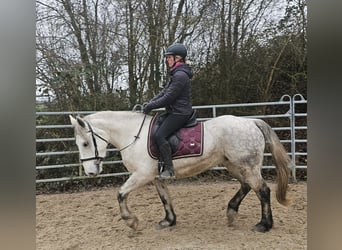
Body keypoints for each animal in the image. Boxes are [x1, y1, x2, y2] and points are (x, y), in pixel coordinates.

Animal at [69, 111, 292, 232]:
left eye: (85, 143)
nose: (90, 172)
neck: (133, 135)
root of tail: (251, 121)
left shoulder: (142, 175)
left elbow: (121, 194)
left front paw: (131, 221)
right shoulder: (156, 177)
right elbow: (165, 198)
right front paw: (168, 221)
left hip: (248, 166)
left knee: (262, 191)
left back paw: (264, 224)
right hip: (234, 165)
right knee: (246, 185)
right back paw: (231, 211)